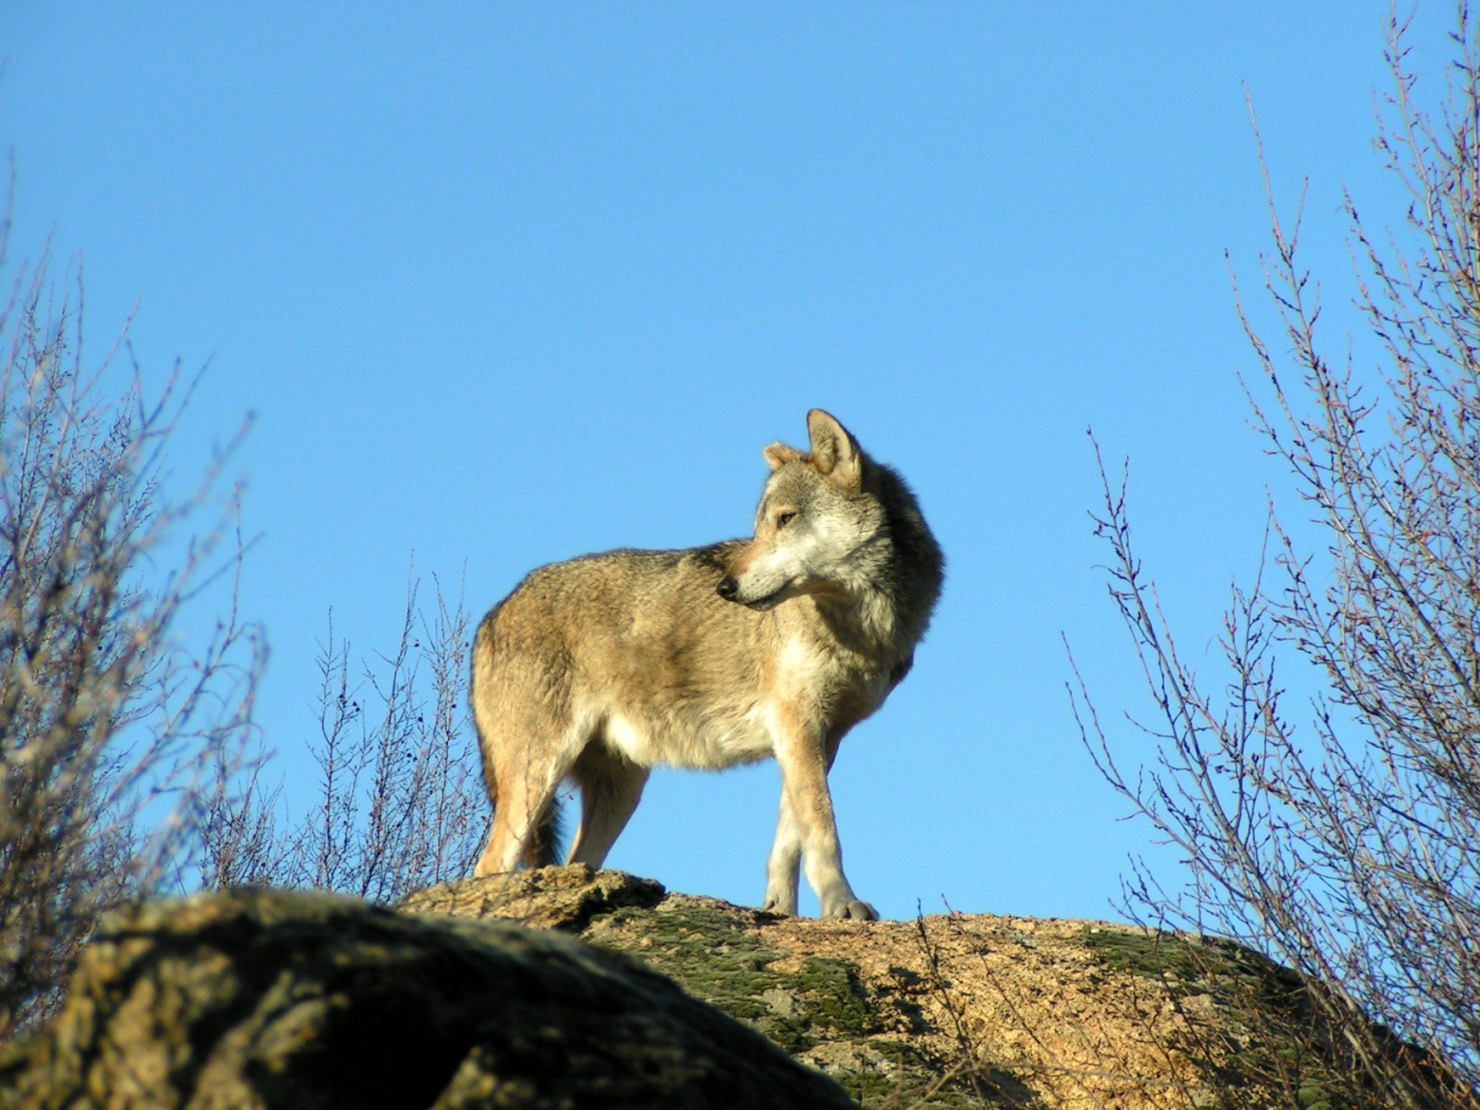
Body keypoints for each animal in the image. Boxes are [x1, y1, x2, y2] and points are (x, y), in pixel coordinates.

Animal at [467, 408, 941, 923]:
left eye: (786, 519)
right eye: (759, 527)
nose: (726, 588)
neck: (862, 629)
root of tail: (491, 615)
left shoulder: (817, 737)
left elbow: (789, 842)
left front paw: (779, 910)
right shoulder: (796, 724)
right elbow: (822, 831)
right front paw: (842, 904)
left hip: (620, 791)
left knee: (572, 862)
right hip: (538, 776)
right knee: (488, 867)